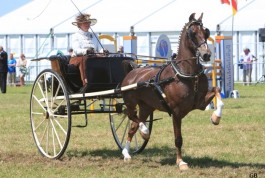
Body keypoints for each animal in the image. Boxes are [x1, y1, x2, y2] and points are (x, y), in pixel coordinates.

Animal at [119, 12, 223, 171]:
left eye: (206, 32)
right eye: (192, 33)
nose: (206, 55)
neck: (187, 73)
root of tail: (132, 72)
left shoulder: (200, 103)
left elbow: (217, 90)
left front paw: (216, 117)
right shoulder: (176, 112)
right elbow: (178, 138)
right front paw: (180, 162)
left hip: (146, 107)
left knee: (133, 126)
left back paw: (127, 152)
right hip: (131, 103)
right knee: (131, 116)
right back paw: (143, 133)